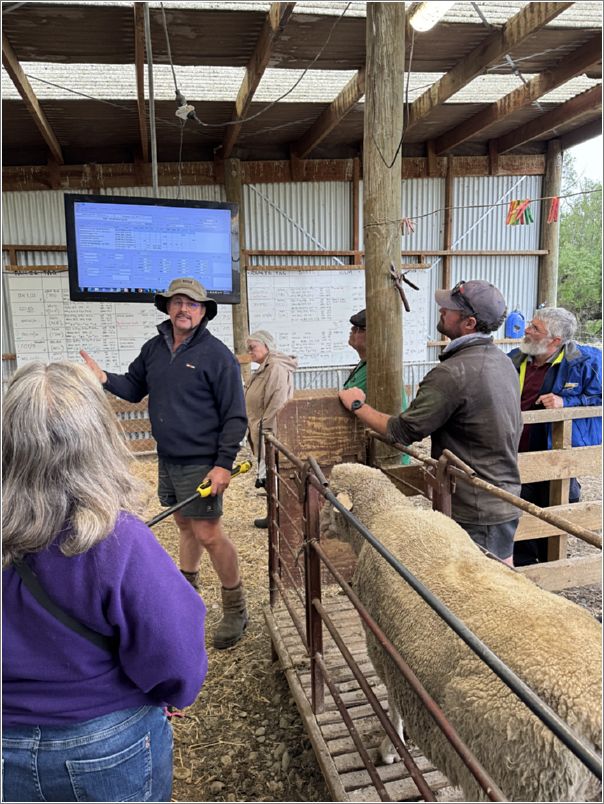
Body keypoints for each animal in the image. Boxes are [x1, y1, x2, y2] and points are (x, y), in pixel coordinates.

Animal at [318, 462, 600, 800]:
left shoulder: (381, 646)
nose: (319, 523)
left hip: (519, 778)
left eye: (330, 487)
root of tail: (590, 716)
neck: (385, 514)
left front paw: (389, 749)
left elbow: (392, 703)